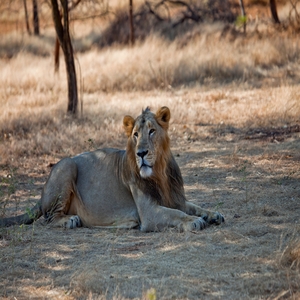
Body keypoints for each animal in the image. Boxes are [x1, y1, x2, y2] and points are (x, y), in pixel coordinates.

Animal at [0, 106, 224, 231]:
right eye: (135, 134)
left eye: (152, 131)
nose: (141, 153)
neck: (159, 172)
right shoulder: (149, 213)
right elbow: (176, 214)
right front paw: (194, 221)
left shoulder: (176, 199)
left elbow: (195, 206)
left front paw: (213, 214)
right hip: (66, 164)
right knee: (48, 218)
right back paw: (70, 220)